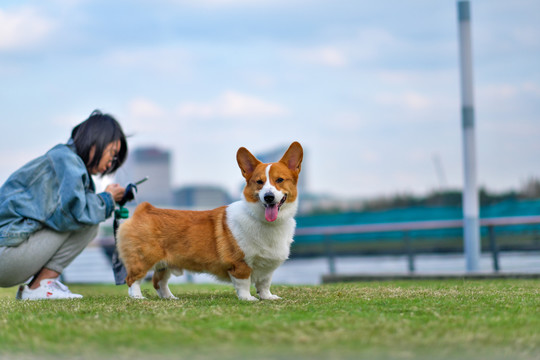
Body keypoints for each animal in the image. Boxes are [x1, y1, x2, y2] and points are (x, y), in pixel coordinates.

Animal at [116, 141, 302, 300]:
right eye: (259, 182)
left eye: (279, 180)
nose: (268, 197)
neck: (266, 222)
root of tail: (143, 209)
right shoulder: (240, 264)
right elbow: (244, 283)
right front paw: (247, 299)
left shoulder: (267, 267)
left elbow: (264, 284)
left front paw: (267, 297)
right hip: (143, 259)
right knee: (132, 279)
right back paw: (138, 297)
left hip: (165, 264)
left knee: (158, 281)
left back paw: (169, 297)